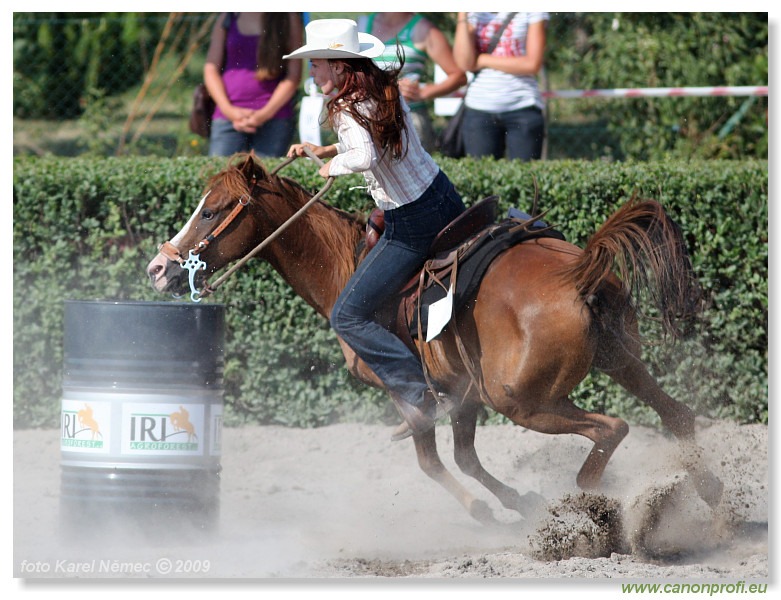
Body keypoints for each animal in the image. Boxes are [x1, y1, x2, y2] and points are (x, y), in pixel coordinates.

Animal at [145, 155, 720, 524]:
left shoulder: (410, 391)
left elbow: (430, 461)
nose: (158, 269)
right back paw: (714, 500)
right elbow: (465, 458)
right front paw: (518, 503)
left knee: (611, 428)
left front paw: (484, 510)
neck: (345, 265)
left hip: (522, 400)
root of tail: (577, 272)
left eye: (213, 210)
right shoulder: (461, 390)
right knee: (677, 415)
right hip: (618, 360)